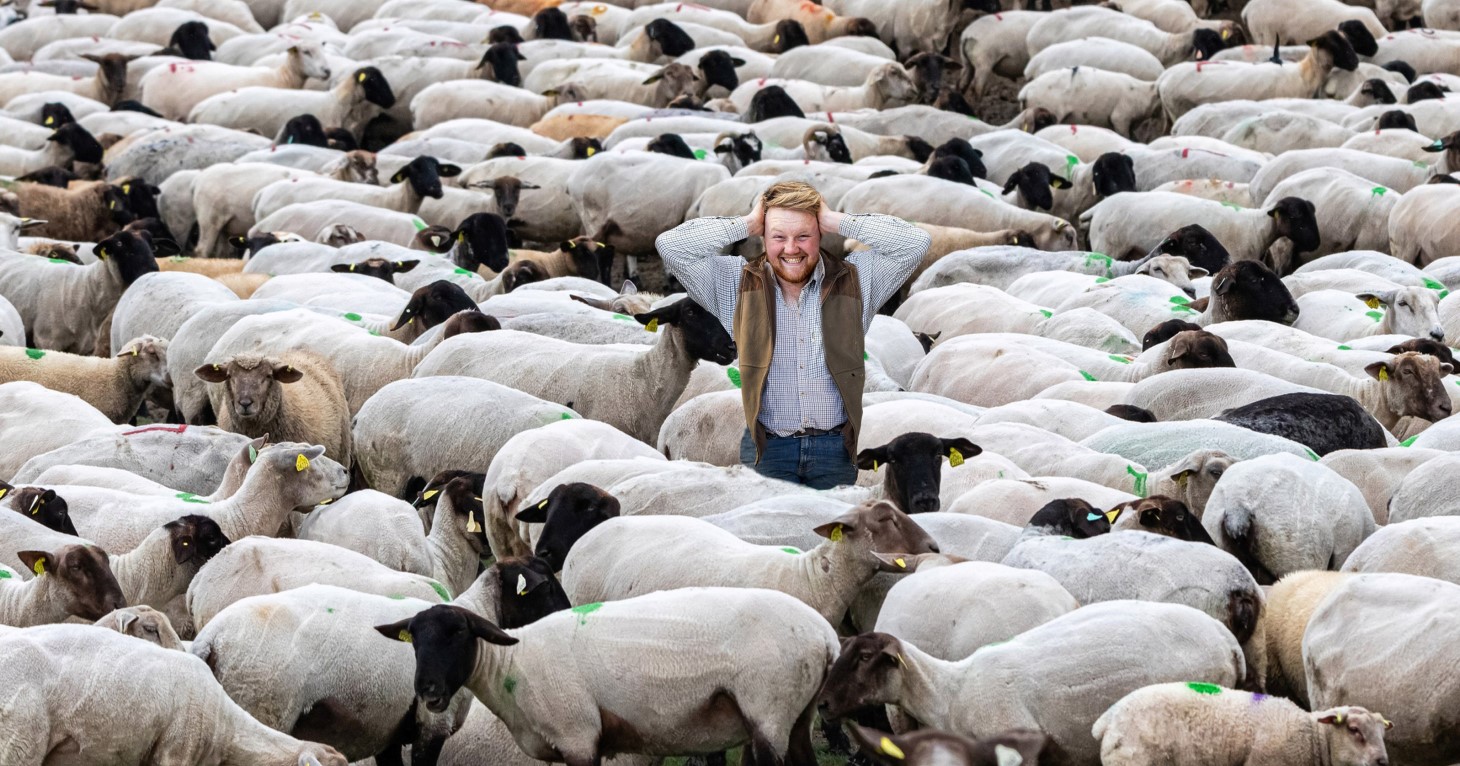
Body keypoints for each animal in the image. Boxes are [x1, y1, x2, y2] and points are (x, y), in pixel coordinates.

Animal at [0, 229, 156, 354]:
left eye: (150, 245)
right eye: (119, 244)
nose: (153, 269)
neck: (86, 289)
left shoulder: (86, 348)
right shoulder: (47, 341)